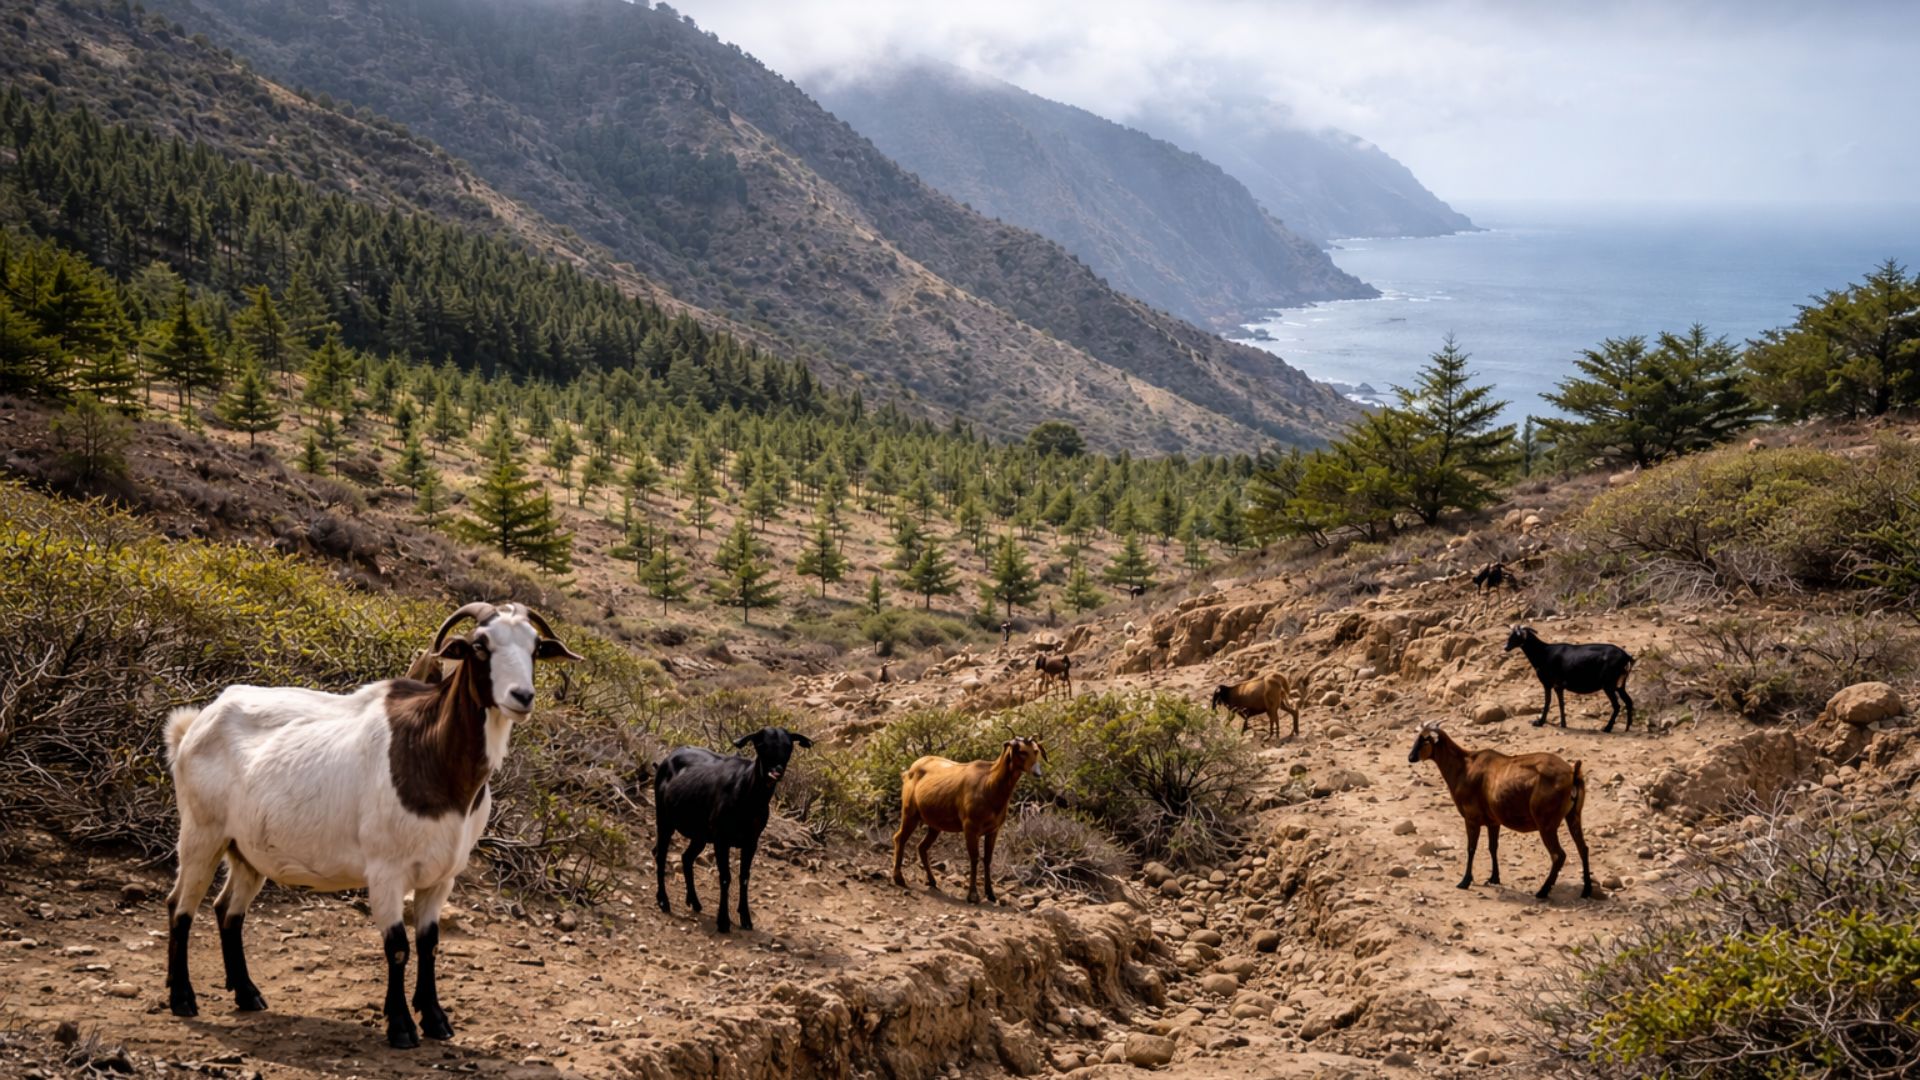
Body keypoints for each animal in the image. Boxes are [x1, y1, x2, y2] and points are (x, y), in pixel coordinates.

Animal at [163, 603, 581, 1048]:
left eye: (535, 648)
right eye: (480, 646)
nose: (522, 696)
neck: (432, 753)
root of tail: (194, 725)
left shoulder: (443, 877)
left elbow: (429, 945)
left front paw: (436, 1019)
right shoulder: (386, 870)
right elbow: (397, 947)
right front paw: (401, 1026)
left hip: (246, 851)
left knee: (228, 910)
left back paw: (247, 993)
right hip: (202, 831)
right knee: (181, 906)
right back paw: (183, 998)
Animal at [653, 727, 812, 934]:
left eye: (788, 746)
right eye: (762, 744)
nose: (775, 771)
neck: (747, 795)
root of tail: (667, 759)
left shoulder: (752, 841)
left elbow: (744, 877)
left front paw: (746, 918)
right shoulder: (722, 839)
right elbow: (725, 877)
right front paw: (723, 921)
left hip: (700, 834)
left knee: (686, 857)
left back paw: (694, 902)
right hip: (665, 819)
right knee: (660, 854)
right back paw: (663, 901)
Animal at [892, 737, 1046, 904]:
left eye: (1036, 750)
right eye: (1022, 751)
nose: (1037, 773)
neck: (989, 785)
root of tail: (908, 771)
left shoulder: (993, 830)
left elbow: (987, 859)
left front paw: (991, 894)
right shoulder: (970, 827)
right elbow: (974, 858)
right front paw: (973, 895)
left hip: (934, 825)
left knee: (921, 847)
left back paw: (932, 881)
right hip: (910, 813)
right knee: (899, 838)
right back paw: (899, 878)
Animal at [1407, 721, 1592, 900]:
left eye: (1425, 739)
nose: (1410, 757)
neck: (1465, 766)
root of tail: (1573, 773)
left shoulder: (1471, 819)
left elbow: (1471, 848)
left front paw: (1465, 881)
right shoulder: (1493, 822)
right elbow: (1493, 847)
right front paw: (1494, 878)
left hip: (1546, 824)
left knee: (1558, 855)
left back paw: (1542, 891)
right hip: (1574, 816)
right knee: (1583, 848)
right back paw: (1586, 890)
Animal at [1505, 625, 1636, 732]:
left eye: (1515, 636)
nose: (1506, 647)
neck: (1543, 653)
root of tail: (1626, 656)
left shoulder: (1548, 683)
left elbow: (1548, 702)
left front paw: (1539, 722)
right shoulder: (1559, 686)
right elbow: (1561, 703)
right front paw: (1563, 724)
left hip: (1608, 685)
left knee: (1617, 706)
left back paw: (1607, 728)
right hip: (1620, 685)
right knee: (1628, 701)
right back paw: (1627, 728)